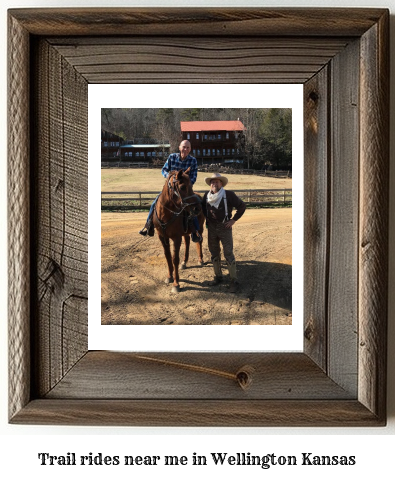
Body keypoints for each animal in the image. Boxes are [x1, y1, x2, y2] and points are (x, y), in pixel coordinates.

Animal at [153, 168, 206, 296]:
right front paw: (169, 276)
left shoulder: (176, 238)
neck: (165, 214)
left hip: (200, 228)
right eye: (182, 187)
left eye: (191, 185)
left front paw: (176, 284)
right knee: (187, 242)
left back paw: (200, 259)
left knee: (199, 242)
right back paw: (184, 262)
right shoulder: (162, 237)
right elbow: (168, 257)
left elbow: (175, 259)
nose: (197, 208)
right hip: (186, 232)